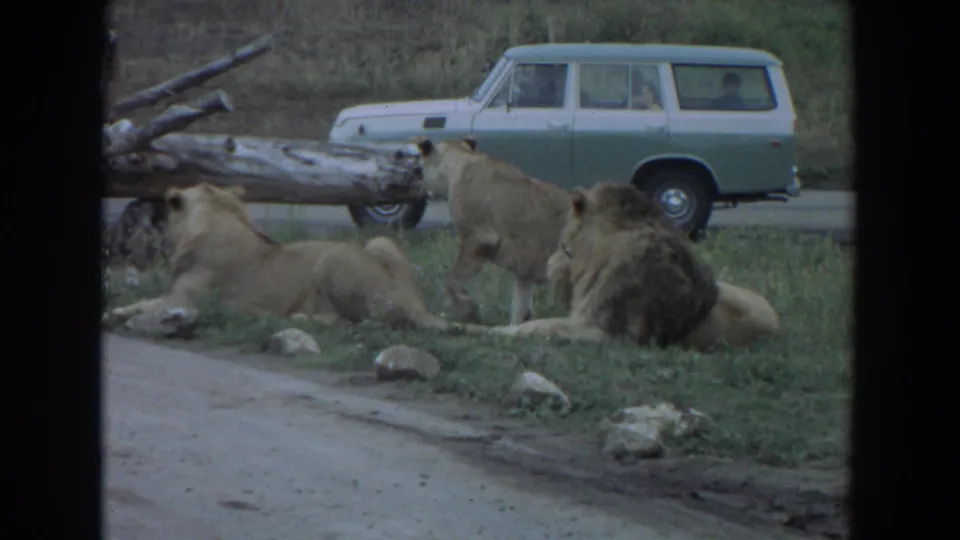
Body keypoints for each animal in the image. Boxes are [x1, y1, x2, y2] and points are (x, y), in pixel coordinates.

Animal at [108, 182, 487, 334]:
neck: (218, 217)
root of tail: (415, 303)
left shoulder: (184, 301)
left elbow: (141, 304)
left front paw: (115, 313)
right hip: (381, 241)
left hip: (333, 262)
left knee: (357, 322)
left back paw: (296, 319)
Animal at [399, 136, 572, 326]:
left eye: (419, 170)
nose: (419, 188)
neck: (460, 160)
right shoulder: (524, 273)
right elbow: (521, 309)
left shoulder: (480, 237)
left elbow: (452, 279)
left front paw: (466, 306)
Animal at [489, 182, 780, 351]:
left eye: (563, 246)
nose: (549, 266)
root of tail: (778, 326)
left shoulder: (608, 333)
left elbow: (541, 326)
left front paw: (495, 331)